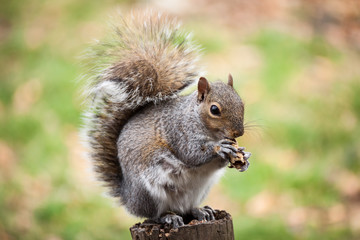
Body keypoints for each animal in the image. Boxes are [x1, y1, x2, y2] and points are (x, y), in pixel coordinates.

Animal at [81, 11, 250, 228]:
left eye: (241, 103)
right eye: (214, 109)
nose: (239, 133)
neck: (197, 119)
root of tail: (128, 198)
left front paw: (244, 157)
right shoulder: (178, 131)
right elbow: (191, 154)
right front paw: (221, 148)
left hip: (200, 190)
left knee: (187, 208)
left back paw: (200, 210)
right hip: (149, 192)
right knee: (153, 214)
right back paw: (168, 216)